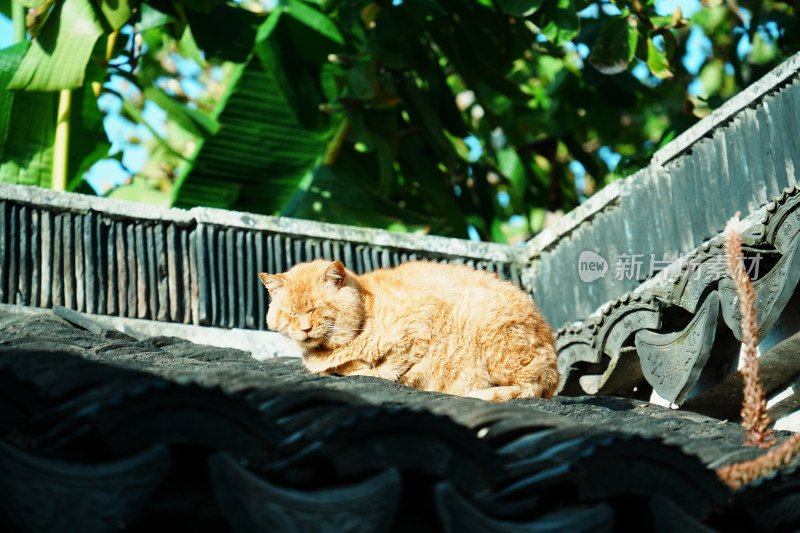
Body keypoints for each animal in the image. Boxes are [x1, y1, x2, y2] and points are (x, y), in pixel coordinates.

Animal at [258, 260, 556, 402]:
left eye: (315, 309)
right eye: (292, 314)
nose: (305, 329)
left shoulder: (420, 325)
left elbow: (388, 368)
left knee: (527, 386)